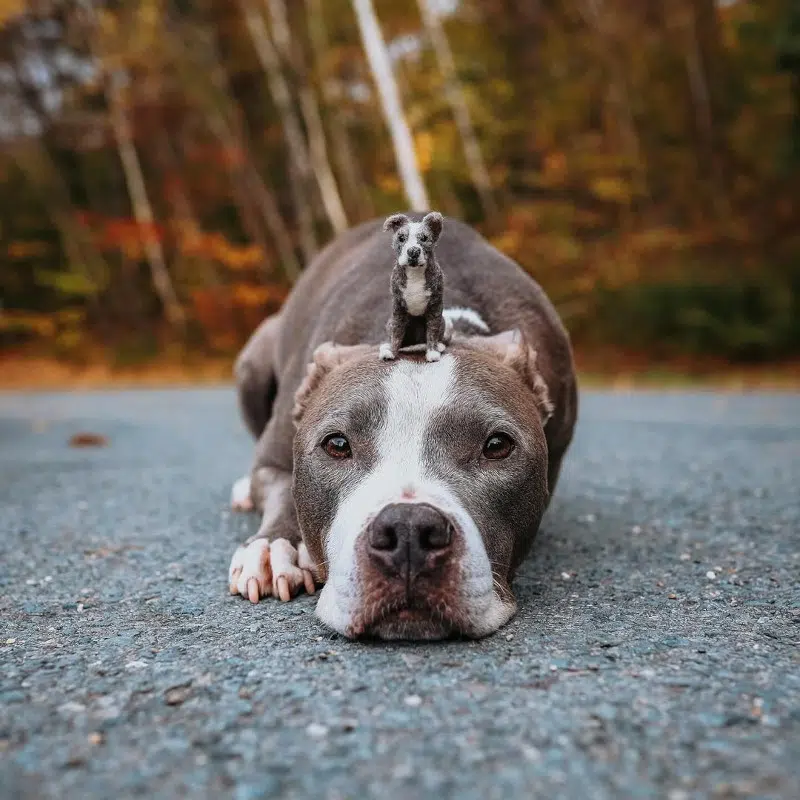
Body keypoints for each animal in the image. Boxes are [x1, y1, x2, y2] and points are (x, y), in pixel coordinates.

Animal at [228, 212, 580, 636]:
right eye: (337, 444)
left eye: (497, 445)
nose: (409, 530)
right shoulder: (274, 458)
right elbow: (280, 488)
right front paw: (273, 547)